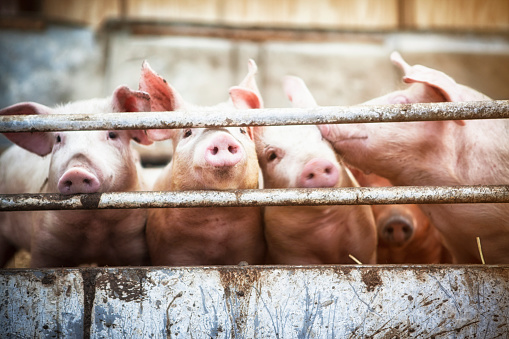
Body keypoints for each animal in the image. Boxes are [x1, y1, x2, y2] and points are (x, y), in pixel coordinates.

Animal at [0, 85, 153, 268]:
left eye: (112, 135)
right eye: (58, 138)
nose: (77, 171)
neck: (95, 228)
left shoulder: (134, 244)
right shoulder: (44, 243)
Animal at [139, 59, 266, 266]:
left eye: (242, 131)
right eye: (187, 132)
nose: (221, 138)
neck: (214, 220)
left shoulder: (249, 246)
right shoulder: (171, 250)